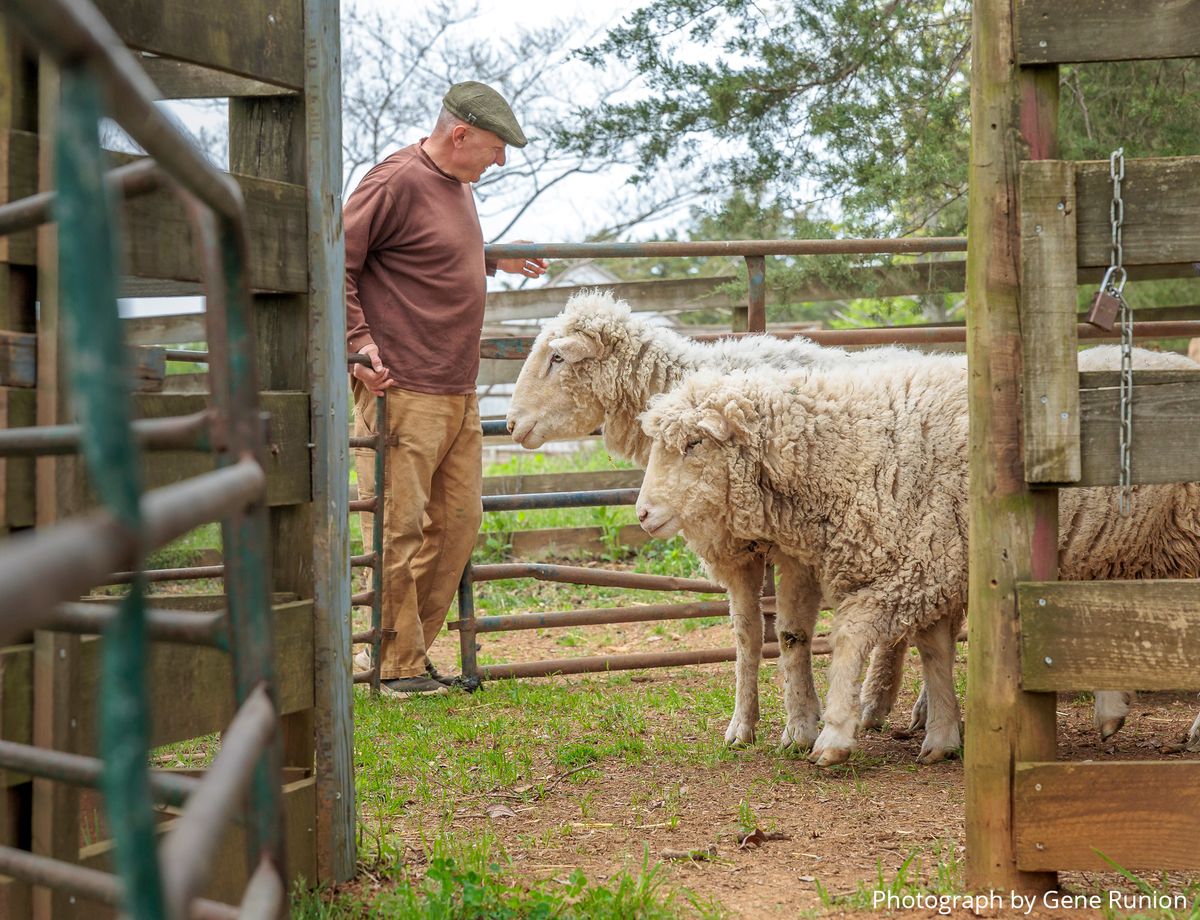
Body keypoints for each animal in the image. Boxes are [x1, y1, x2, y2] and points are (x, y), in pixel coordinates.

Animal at [506, 291, 936, 753]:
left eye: (556, 358)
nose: (511, 424)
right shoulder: (734, 552)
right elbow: (747, 635)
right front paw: (742, 725)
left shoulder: (797, 549)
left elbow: (791, 633)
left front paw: (800, 727)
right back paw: (880, 705)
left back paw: (915, 710)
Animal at [643, 355, 1200, 767]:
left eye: (694, 443)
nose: (643, 513)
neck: (846, 448)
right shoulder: (934, 564)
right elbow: (933, 651)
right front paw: (943, 736)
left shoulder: (916, 566)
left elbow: (851, 637)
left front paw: (835, 735)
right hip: (1122, 551)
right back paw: (1111, 713)